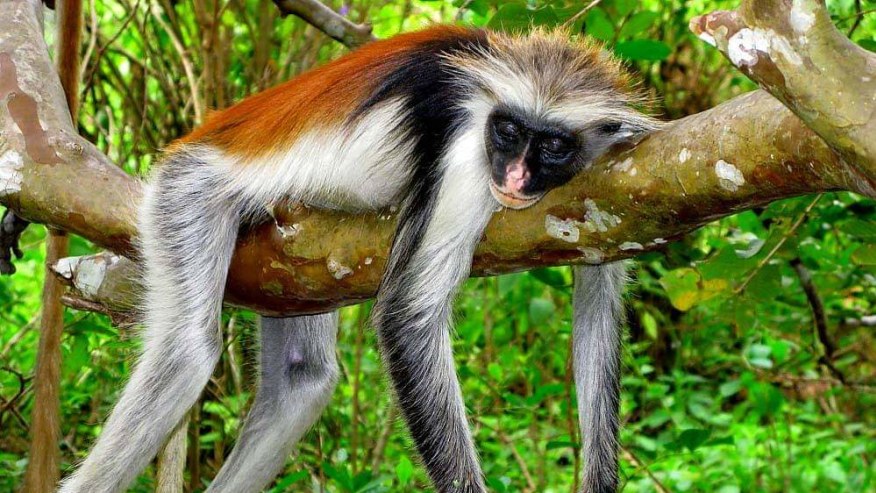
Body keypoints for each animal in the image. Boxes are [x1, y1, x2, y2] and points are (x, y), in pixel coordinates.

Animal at [59, 26, 657, 493]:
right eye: (508, 132)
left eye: (552, 146)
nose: (512, 177)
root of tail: (199, 138)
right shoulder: (468, 150)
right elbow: (408, 317)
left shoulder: (615, 174)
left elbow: (599, 306)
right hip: (187, 192)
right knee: (186, 352)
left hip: (289, 265)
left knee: (303, 380)